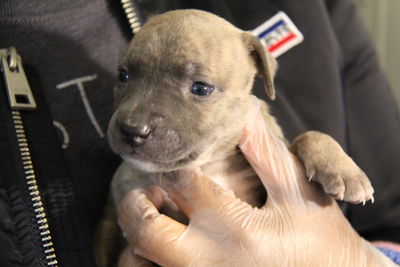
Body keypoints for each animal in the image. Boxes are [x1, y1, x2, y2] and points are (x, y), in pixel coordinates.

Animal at [96, 9, 376, 266]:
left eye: (201, 88)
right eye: (123, 75)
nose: (132, 130)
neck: (211, 164)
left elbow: (309, 134)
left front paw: (344, 171)